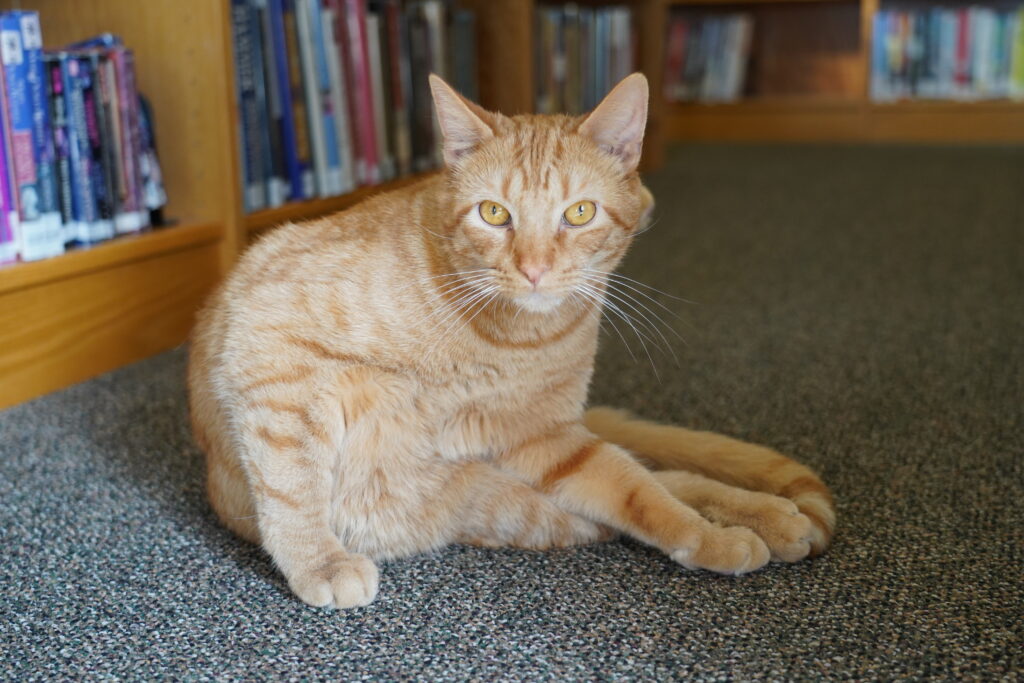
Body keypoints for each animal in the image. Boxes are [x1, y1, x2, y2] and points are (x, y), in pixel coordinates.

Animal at [190, 74, 831, 610]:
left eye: (580, 212)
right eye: (494, 213)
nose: (534, 269)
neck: (507, 339)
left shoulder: (544, 435)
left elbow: (637, 492)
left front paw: (703, 535)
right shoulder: (271, 346)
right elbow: (292, 484)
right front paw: (319, 561)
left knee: (656, 475)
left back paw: (768, 514)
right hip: (506, 506)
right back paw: (765, 521)